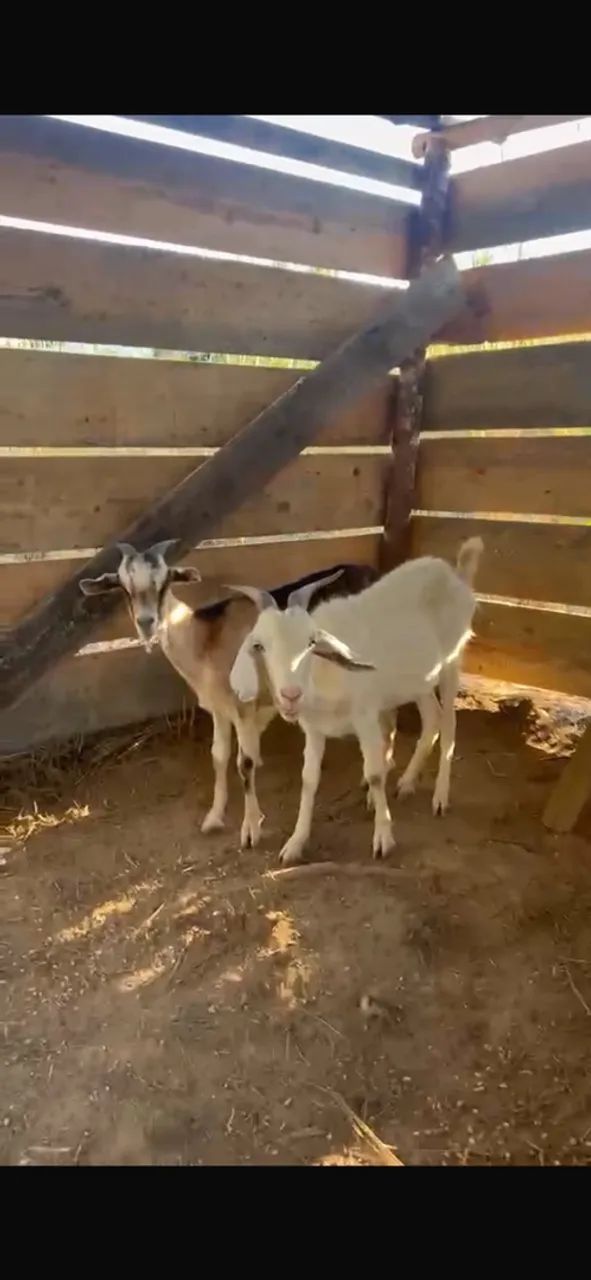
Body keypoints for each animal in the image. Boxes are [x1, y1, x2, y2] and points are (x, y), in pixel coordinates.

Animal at [79, 540, 377, 849]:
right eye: (123, 586)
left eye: (164, 581)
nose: (147, 622)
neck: (205, 640)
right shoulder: (218, 709)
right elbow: (219, 756)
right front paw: (213, 817)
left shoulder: (243, 707)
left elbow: (244, 764)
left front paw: (250, 830)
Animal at [228, 537, 483, 865]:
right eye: (259, 646)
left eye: (312, 642)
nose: (290, 695)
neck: (324, 673)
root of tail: (454, 574)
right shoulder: (314, 729)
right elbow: (309, 779)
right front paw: (296, 842)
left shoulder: (366, 717)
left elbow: (374, 774)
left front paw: (383, 838)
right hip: (418, 679)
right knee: (432, 718)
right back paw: (407, 782)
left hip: (452, 662)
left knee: (449, 723)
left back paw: (440, 796)